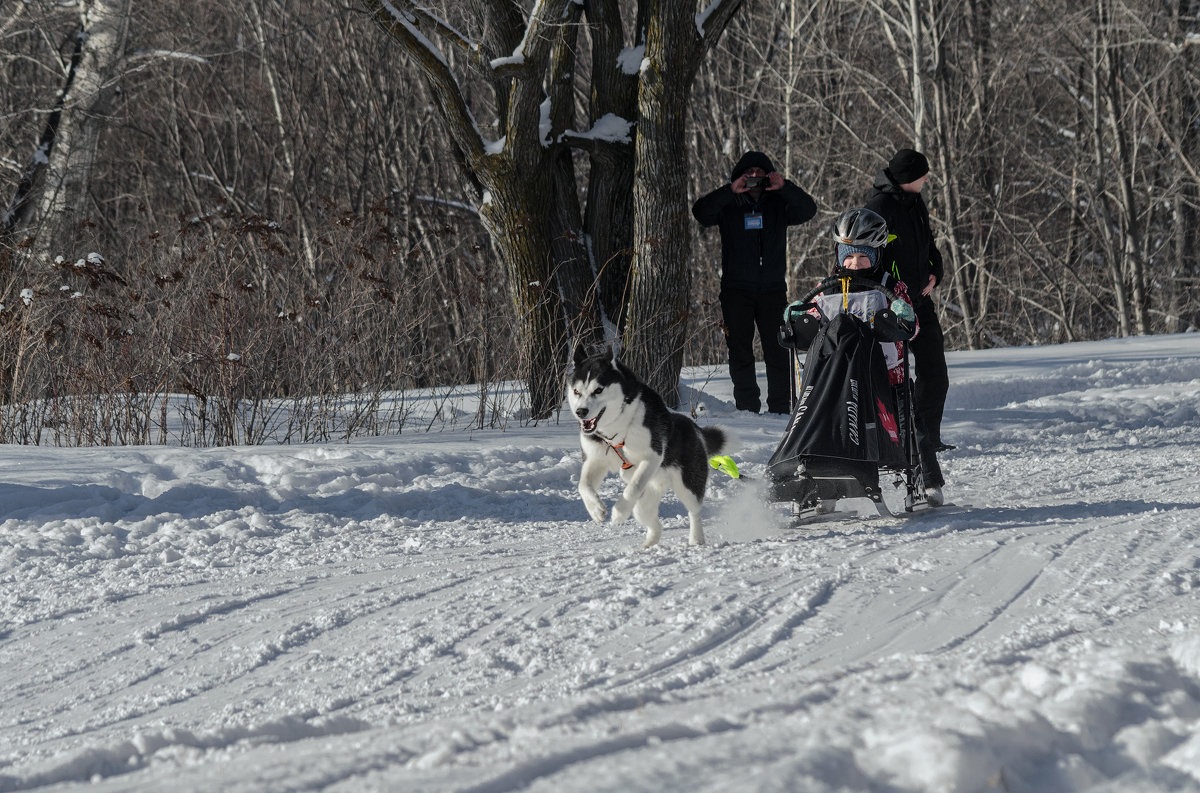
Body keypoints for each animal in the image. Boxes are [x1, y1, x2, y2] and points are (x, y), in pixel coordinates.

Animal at [564, 345, 729, 549]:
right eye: (576, 391)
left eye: (598, 390)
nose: (581, 411)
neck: (617, 430)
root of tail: (692, 426)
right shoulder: (595, 460)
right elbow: (583, 485)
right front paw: (596, 510)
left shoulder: (651, 457)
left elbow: (633, 486)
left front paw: (619, 513)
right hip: (644, 503)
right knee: (654, 523)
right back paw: (648, 544)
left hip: (687, 486)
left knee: (694, 511)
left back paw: (696, 539)